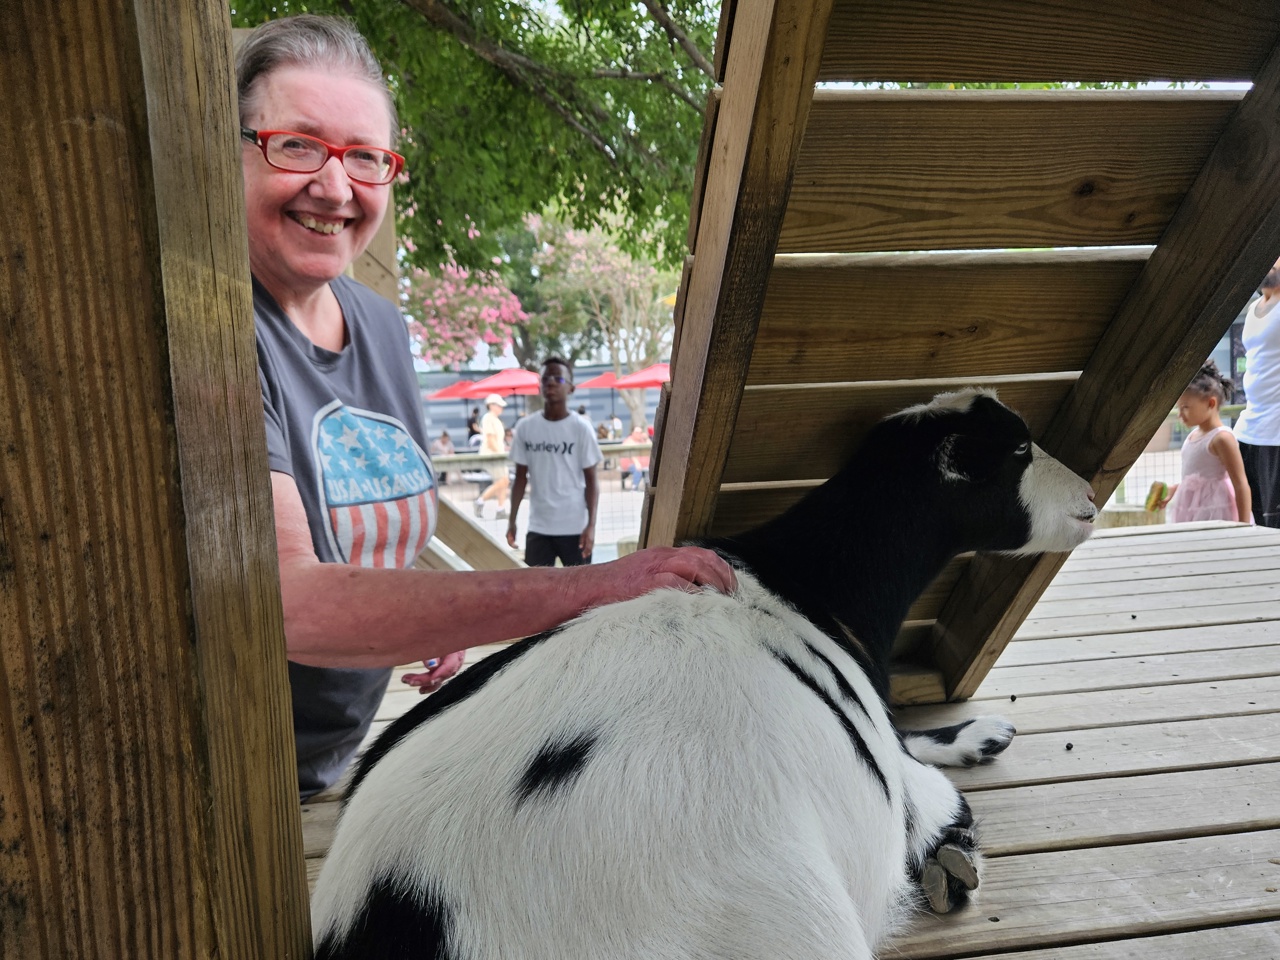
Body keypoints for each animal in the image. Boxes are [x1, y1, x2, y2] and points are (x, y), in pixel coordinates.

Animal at [307, 391, 1090, 960]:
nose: (1088, 496)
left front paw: (982, 736)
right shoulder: (894, 781)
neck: (806, 582)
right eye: (1019, 449)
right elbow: (934, 793)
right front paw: (954, 835)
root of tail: (399, 913)